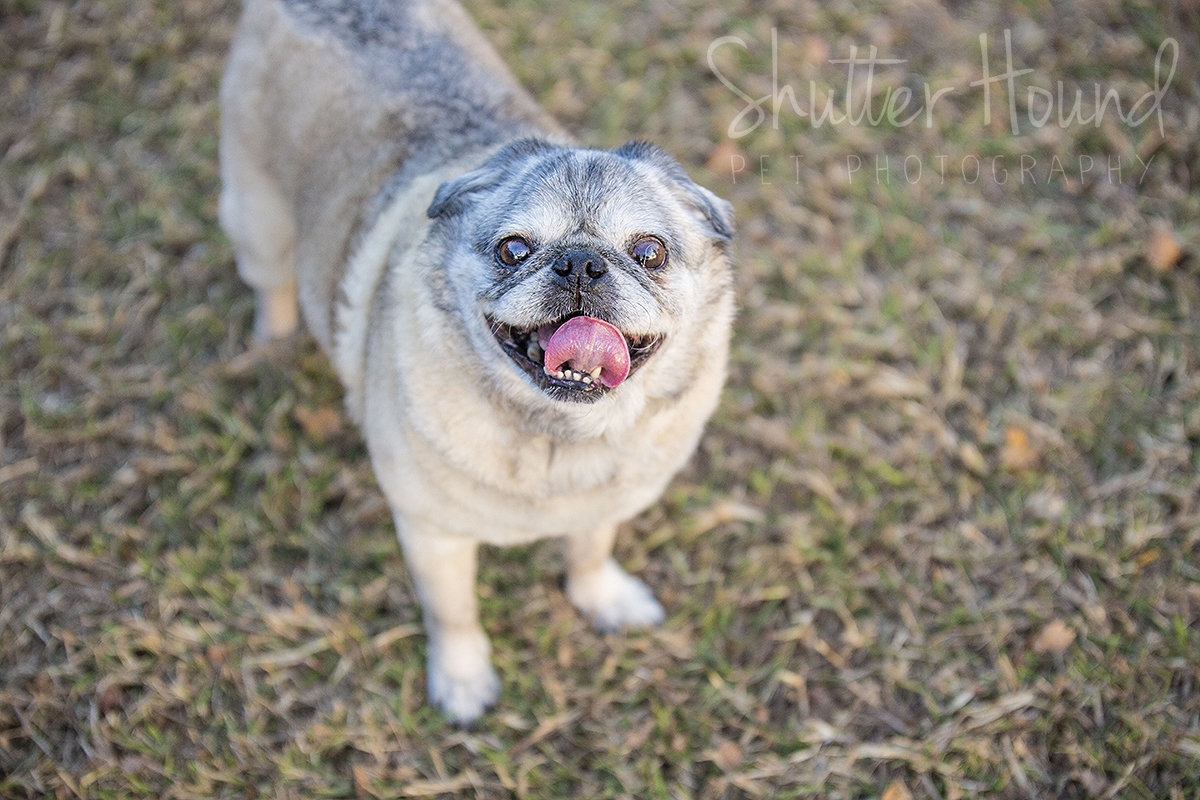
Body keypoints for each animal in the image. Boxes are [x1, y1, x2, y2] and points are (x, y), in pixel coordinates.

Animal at [219, 0, 735, 722]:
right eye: (514, 249)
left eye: (650, 253)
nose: (580, 263)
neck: (557, 436)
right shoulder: (434, 536)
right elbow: (454, 612)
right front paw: (463, 680)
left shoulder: (599, 507)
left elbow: (589, 550)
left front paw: (602, 598)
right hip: (258, 217)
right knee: (273, 284)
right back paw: (274, 343)